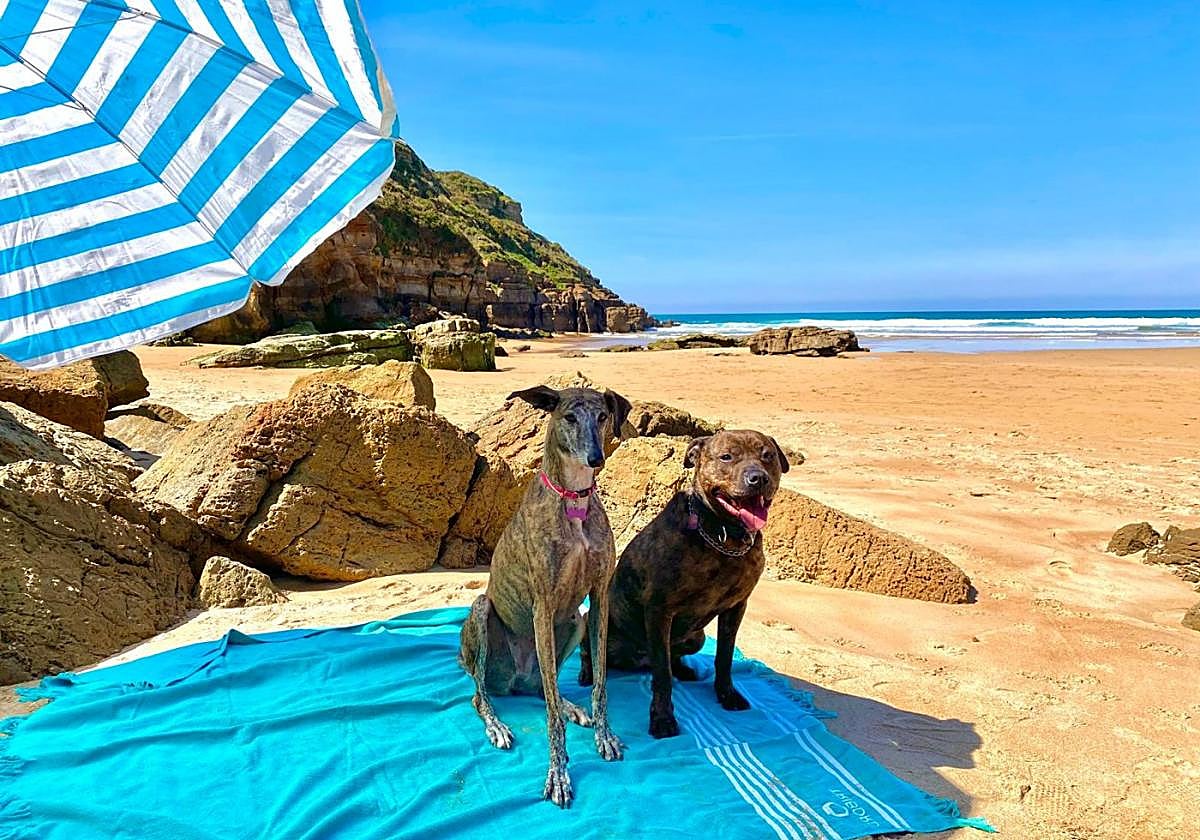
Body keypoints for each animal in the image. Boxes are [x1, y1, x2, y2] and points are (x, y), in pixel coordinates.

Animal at [458, 385, 631, 807]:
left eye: (602, 416)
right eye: (569, 417)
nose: (596, 458)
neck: (573, 500)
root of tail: (514, 679)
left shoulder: (598, 600)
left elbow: (600, 683)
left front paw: (604, 736)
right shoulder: (543, 605)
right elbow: (550, 717)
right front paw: (558, 773)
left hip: (574, 622)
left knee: (543, 687)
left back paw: (571, 706)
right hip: (483, 614)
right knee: (480, 696)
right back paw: (497, 725)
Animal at [580, 430, 791, 739]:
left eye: (768, 456)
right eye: (726, 456)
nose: (758, 478)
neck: (722, 534)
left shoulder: (736, 608)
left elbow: (724, 657)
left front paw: (726, 694)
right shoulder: (659, 611)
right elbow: (662, 676)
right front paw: (663, 718)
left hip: (696, 637)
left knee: (674, 657)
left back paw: (683, 669)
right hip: (595, 625)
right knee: (593, 653)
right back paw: (586, 674)